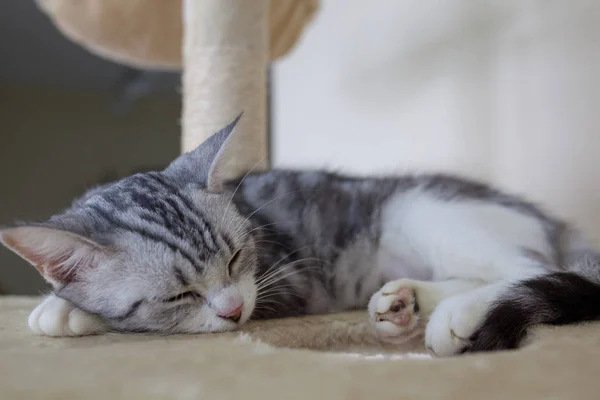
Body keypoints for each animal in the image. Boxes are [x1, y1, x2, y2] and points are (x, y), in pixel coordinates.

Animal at [1, 115, 600, 356]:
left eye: (238, 258)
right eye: (180, 292)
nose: (232, 310)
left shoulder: (285, 279)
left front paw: (70, 311)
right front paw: (60, 304)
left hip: (421, 209)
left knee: (529, 269)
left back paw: (462, 315)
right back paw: (404, 302)